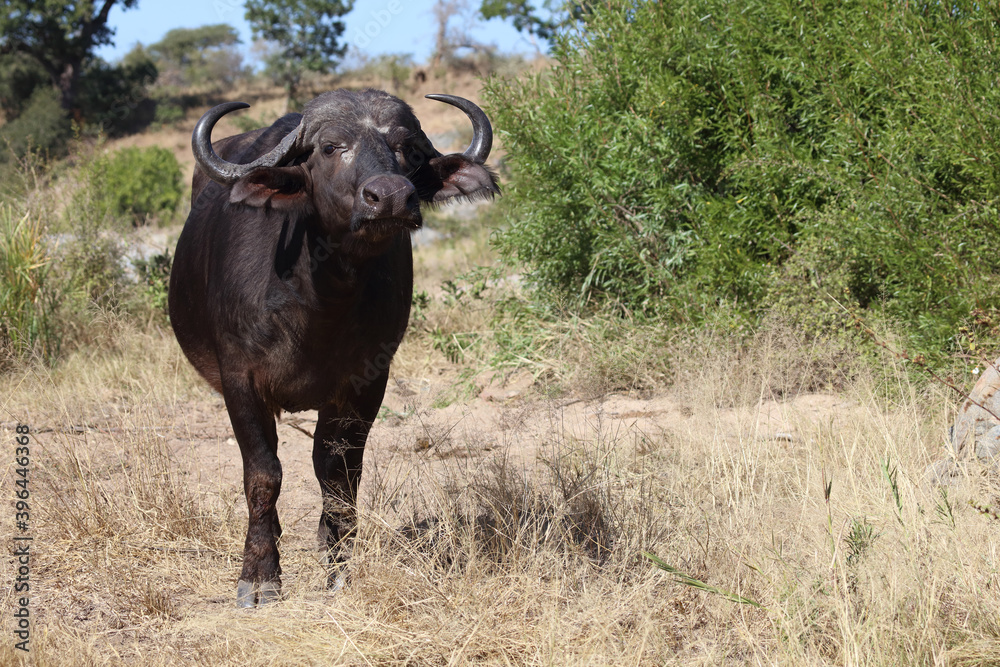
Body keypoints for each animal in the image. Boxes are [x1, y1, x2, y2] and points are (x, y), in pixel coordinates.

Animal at [173, 87, 504, 604]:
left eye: (408, 148)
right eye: (330, 147)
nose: (390, 197)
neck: (319, 299)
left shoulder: (365, 382)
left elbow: (338, 474)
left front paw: (338, 564)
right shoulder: (239, 378)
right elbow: (263, 473)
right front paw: (259, 575)